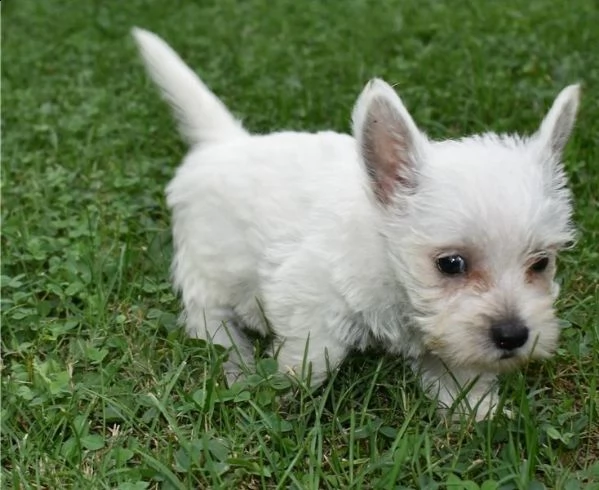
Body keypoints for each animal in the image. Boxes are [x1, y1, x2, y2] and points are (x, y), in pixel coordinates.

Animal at [132, 26, 580, 420]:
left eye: (541, 263)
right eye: (451, 263)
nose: (513, 336)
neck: (385, 255)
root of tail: (223, 142)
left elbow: (459, 369)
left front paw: (475, 409)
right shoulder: (307, 296)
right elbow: (314, 356)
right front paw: (283, 387)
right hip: (207, 263)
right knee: (206, 314)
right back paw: (235, 357)